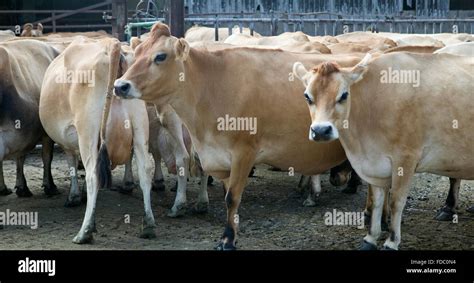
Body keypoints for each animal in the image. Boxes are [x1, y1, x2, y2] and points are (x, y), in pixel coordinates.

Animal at [39, 36, 156, 244]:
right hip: (140, 125)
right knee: (145, 170)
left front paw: (74, 197)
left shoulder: (69, 140)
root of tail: (111, 43)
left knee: (93, 175)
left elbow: (72, 164)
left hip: (88, 130)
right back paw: (149, 225)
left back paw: (85, 231)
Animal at [113, 23, 364, 252]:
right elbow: (227, 195)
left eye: (160, 56)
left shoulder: (245, 152)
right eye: (137, 53)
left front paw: (227, 240)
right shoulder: (220, 157)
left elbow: (232, 197)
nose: (120, 85)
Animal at [292, 51, 474, 251]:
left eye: (344, 94)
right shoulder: (375, 164)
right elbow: (377, 201)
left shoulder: (406, 158)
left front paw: (391, 241)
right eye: (307, 96)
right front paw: (370, 238)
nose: (320, 130)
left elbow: (396, 201)